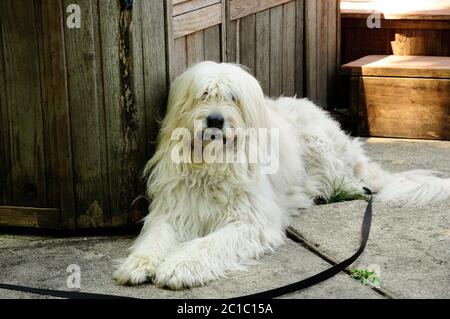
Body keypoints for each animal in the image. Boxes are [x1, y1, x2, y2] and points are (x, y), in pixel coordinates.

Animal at [114, 61, 450, 292]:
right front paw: (139, 263)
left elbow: (209, 244)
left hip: (321, 148)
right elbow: (155, 237)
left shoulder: (249, 222)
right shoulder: (172, 212)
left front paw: (180, 266)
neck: (213, 163)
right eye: (204, 94)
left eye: (233, 97)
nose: (215, 120)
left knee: (349, 183)